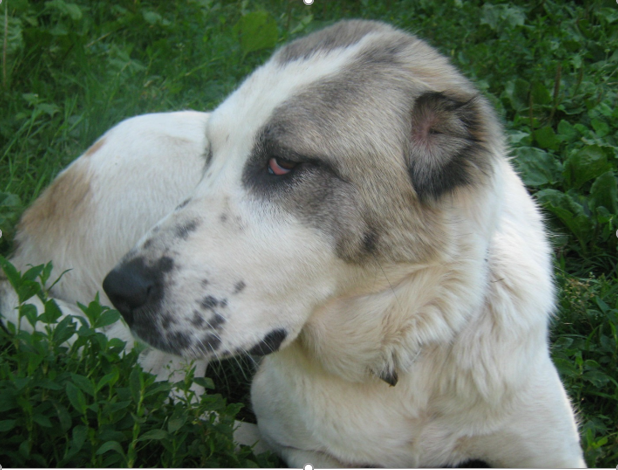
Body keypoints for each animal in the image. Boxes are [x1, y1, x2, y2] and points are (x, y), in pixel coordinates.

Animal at [0, 20, 584, 468]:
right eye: (210, 156)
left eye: (282, 164)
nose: (120, 289)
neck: (406, 342)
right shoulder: (313, 453)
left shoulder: (551, 449)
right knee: (166, 385)